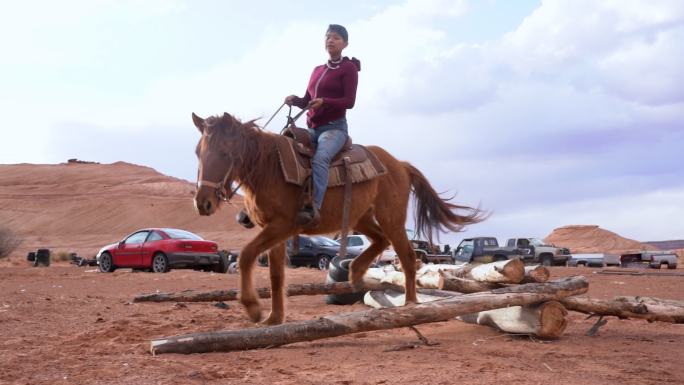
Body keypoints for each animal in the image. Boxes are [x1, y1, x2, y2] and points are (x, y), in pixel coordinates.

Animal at [191, 112, 480, 324]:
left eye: (226, 153)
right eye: (198, 153)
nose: (203, 203)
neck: (268, 168)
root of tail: (400, 164)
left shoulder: (283, 225)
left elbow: (246, 255)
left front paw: (252, 307)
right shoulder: (273, 231)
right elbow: (275, 274)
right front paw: (274, 318)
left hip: (391, 218)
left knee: (408, 256)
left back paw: (410, 303)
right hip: (361, 217)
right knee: (381, 240)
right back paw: (356, 272)